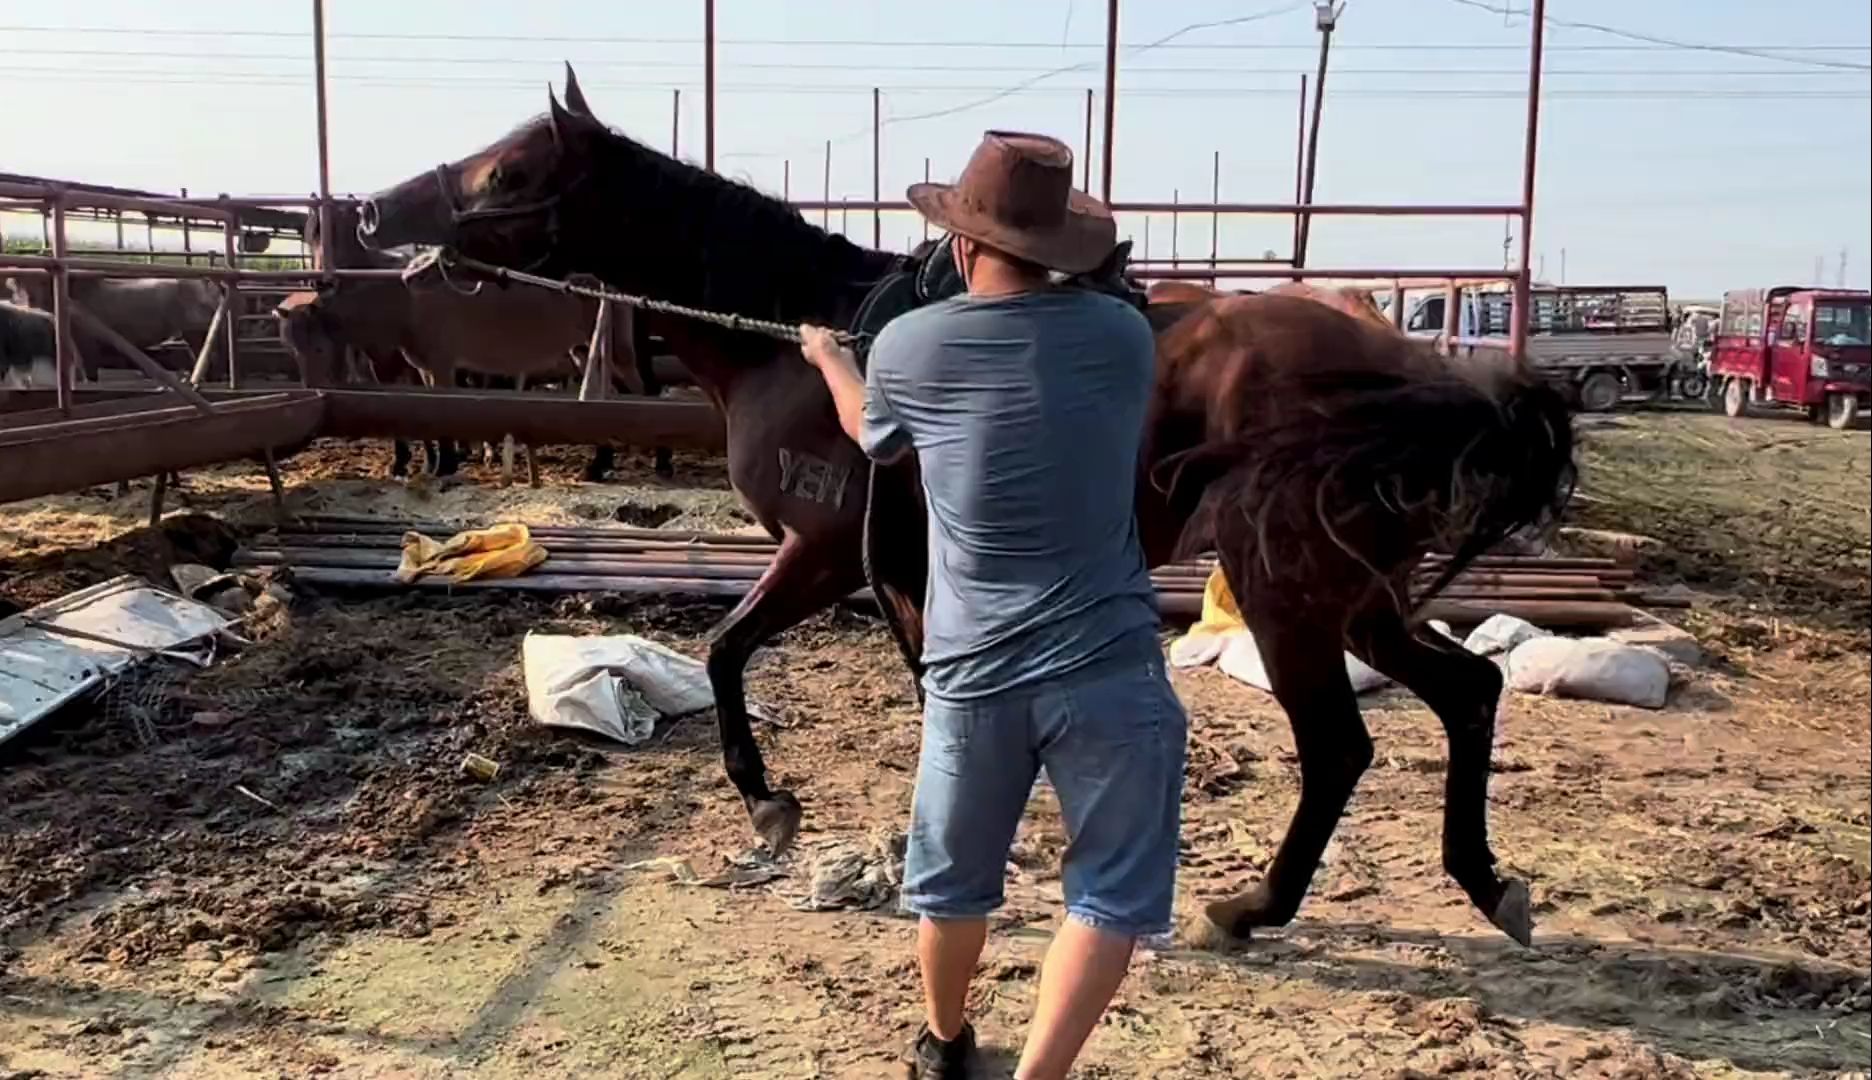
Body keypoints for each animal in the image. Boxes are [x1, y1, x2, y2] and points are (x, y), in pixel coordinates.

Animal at [357, 69, 1572, 943]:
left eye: (510, 167)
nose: (374, 207)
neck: (801, 335)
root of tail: (1415, 370)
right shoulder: (888, 571)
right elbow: (823, 667)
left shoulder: (827, 553)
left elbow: (727, 649)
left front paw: (776, 804)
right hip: (1356, 599)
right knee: (1468, 692)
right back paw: (1485, 882)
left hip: (1291, 598)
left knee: (1339, 748)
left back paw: (1253, 907)